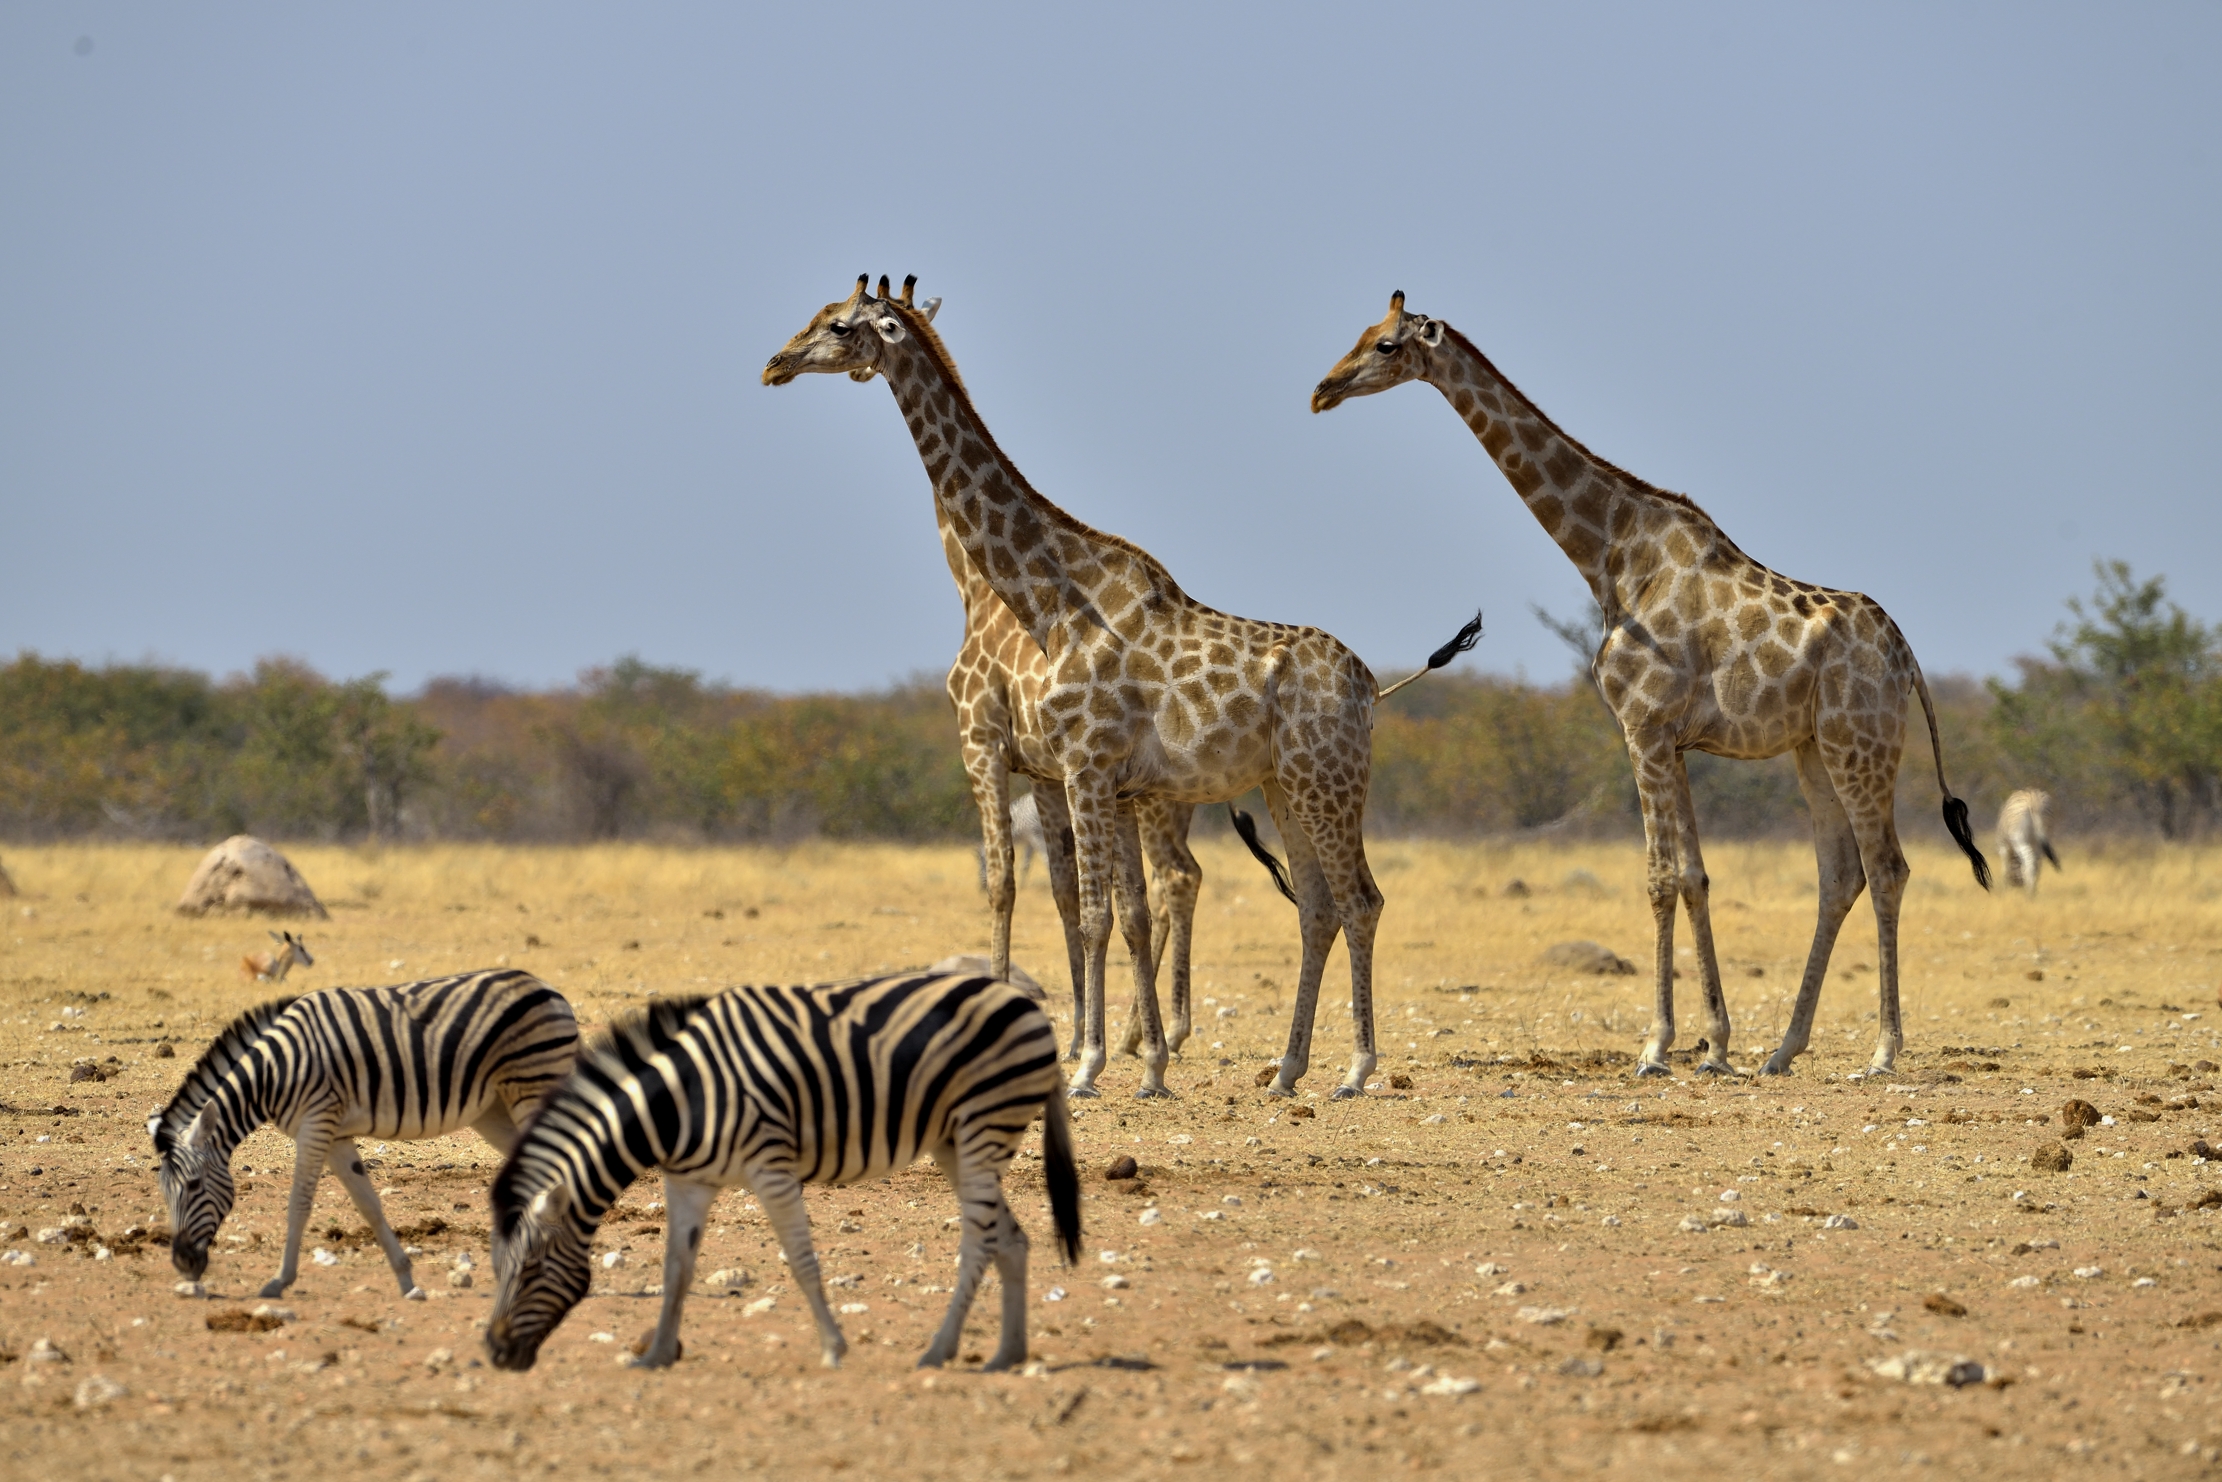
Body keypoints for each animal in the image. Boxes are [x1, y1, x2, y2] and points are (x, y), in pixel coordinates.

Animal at [766, 275, 1472, 1097]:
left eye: (842, 327)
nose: (775, 364)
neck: (1046, 599)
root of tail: (1370, 688)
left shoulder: (1067, 764)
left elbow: (1082, 909)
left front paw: (1090, 1064)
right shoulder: (1106, 779)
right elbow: (1118, 912)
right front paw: (1146, 1063)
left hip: (1327, 781)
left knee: (1360, 900)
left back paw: (1355, 1069)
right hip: (1284, 787)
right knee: (1317, 908)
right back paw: (1287, 1069)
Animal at [1312, 292, 1990, 1078]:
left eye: (1386, 345)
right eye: (1362, 334)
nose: (1322, 391)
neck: (1610, 555)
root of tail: (1906, 656)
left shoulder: (1642, 725)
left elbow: (1661, 877)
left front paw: (1658, 1046)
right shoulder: (1670, 738)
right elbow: (1693, 875)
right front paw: (1715, 1044)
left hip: (1862, 743)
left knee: (1887, 868)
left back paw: (1882, 1051)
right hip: (1814, 750)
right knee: (1839, 875)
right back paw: (1784, 1049)